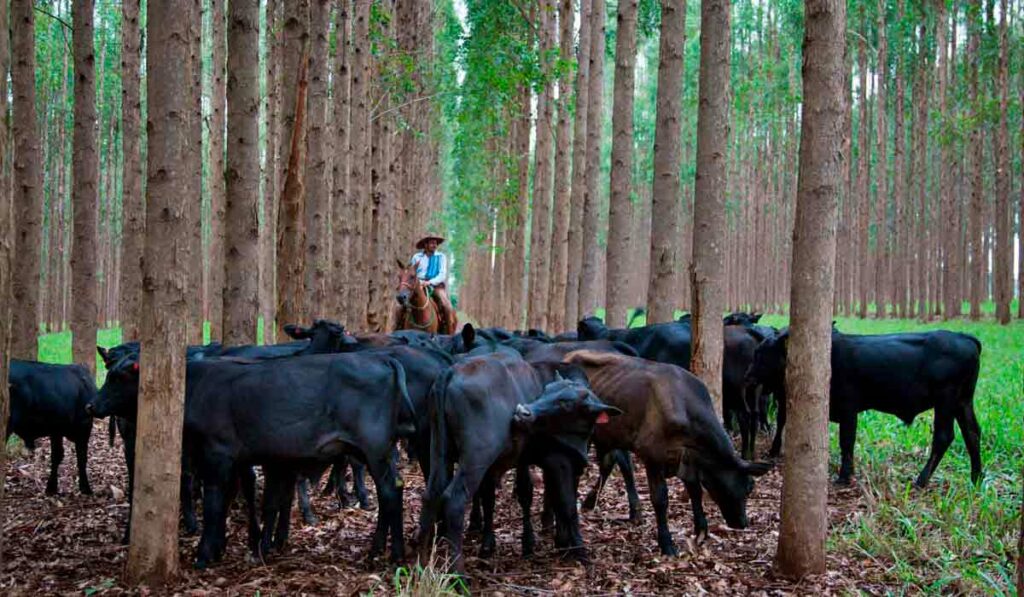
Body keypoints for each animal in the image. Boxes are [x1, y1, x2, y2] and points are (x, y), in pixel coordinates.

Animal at [565, 350, 770, 557]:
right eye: (749, 486)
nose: (743, 523)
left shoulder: (688, 458)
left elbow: (695, 491)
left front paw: (701, 530)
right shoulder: (653, 456)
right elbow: (660, 499)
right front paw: (666, 543)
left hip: (613, 434)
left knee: (611, 462)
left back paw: (593, 502)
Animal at [749, 329, 978, 487]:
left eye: (761, 352)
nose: (748, 375)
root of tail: (964, 337)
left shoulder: (848, 409)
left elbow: (847, 441)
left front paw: (844, 475)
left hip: (945, 400)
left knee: (944, 436)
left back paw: (921, 480)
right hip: (963, 401)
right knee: (973, 433)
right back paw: (976, 477)